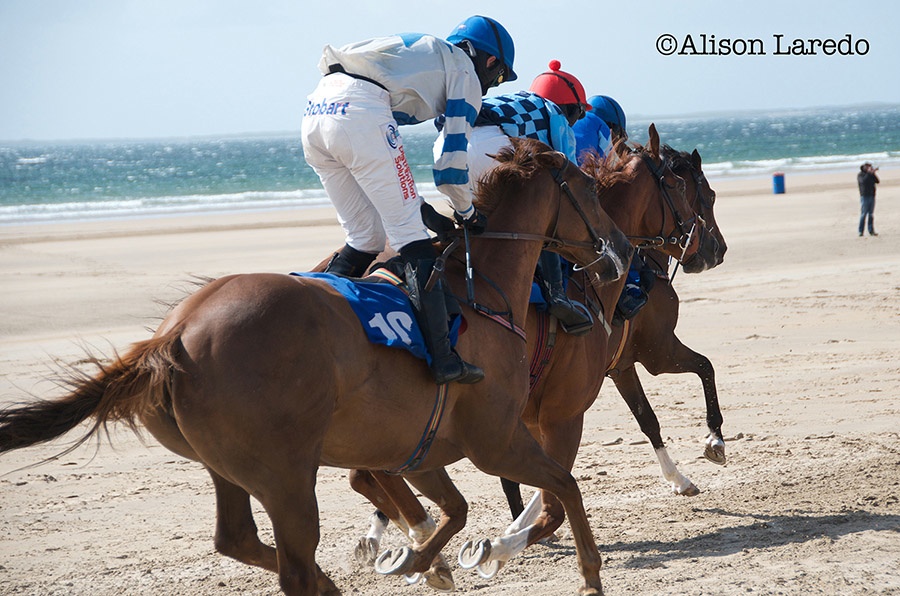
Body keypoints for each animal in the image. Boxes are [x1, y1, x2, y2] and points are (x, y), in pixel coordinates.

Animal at [0, 140, 632, 596]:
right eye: (589, 190)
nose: (621, 251)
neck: (483, 293)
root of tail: (172, 334)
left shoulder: (418, 446)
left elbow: (454, 509)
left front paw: (421, 561)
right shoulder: (494, 439)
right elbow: (563, 485)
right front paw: (589, 575)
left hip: (231, 468)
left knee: (239, 540)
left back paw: (336, 581)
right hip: (287, 476)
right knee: (293, 569)